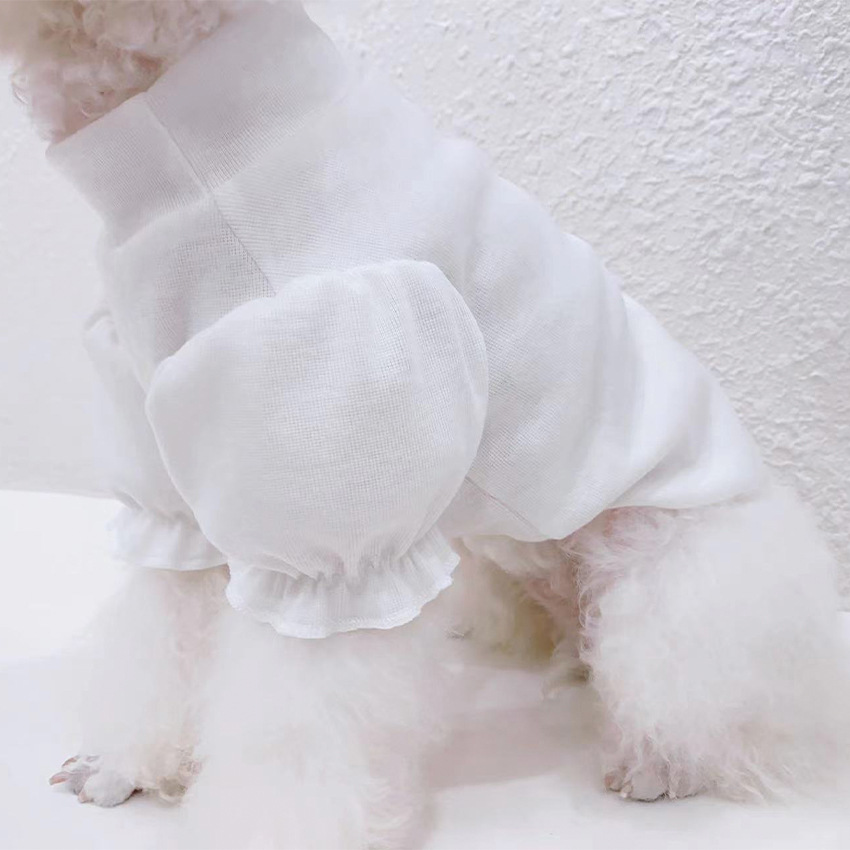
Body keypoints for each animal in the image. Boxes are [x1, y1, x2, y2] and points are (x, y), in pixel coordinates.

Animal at [2, 2, 848, 847]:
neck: (185, 170)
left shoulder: (332, 495)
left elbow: (299, 725)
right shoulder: (167, 458)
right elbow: (163, 621)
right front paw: (123, 762)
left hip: (679, 576)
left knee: (719, 708)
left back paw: (659, 764)